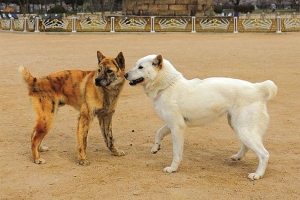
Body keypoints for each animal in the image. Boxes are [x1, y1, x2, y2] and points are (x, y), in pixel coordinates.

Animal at [124, 54, 276, 180]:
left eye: (140, 67)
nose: (125, 74)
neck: (168, 85)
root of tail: (258, 89)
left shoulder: (177, 128)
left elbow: (176, 152)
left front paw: (173, 168)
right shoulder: (172, 124)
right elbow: (159, 133)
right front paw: (156, 147)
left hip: (243, 129)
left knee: (264, 154)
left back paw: (257, 175)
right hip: (238, 127)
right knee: (248, 146)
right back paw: (238, 157)